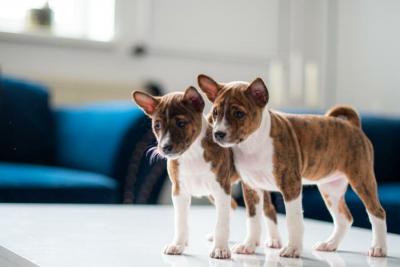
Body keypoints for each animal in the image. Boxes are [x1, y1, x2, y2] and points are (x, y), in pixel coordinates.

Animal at [133, 87, 239, 260]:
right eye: (157, 125)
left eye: (181, 123)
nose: (165, 147)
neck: (191, 154)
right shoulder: (179, 191)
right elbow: (181, 222)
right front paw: (178, 244)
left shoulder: (221, 189)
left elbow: (221, 223)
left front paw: (220, 248)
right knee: (232, 207)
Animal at [198, 74, 390, 258]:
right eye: (215, 113)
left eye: (238, 114)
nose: (218, 133)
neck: (252, 144)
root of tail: (353, 126)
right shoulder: (252, 188)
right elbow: (253, 220)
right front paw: (249, 245)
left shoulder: (291, 186)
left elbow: (293, 221)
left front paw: (292, 249)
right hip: (331, 189)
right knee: (345, 218)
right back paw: (330, 244)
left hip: (362, 180)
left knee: (377, 212)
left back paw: (378, 248)